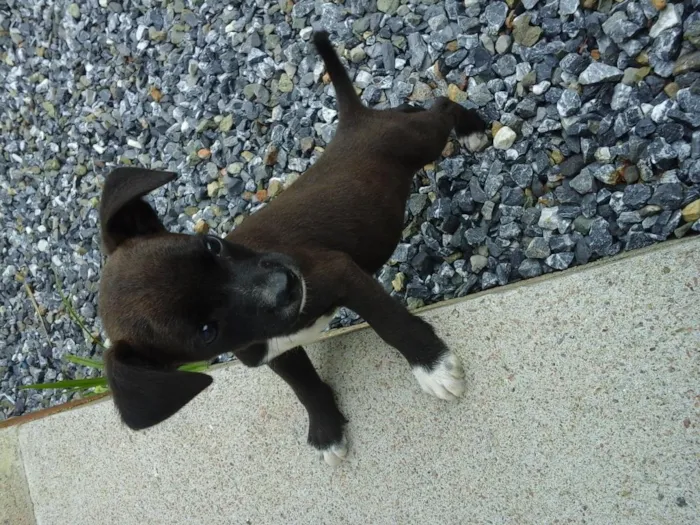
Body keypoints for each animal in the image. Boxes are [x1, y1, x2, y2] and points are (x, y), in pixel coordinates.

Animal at [98, 30, 486, 464]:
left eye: (212, 245)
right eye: (206, 332)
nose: (287, 286)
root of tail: (353, 120)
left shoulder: (340, 273)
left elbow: (390, 323)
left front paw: (432, 367)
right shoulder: (272, 349)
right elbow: (302, 384)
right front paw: (326, 428)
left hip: (421, 142)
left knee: (441, 107)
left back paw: (471, 129)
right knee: (410, 109)